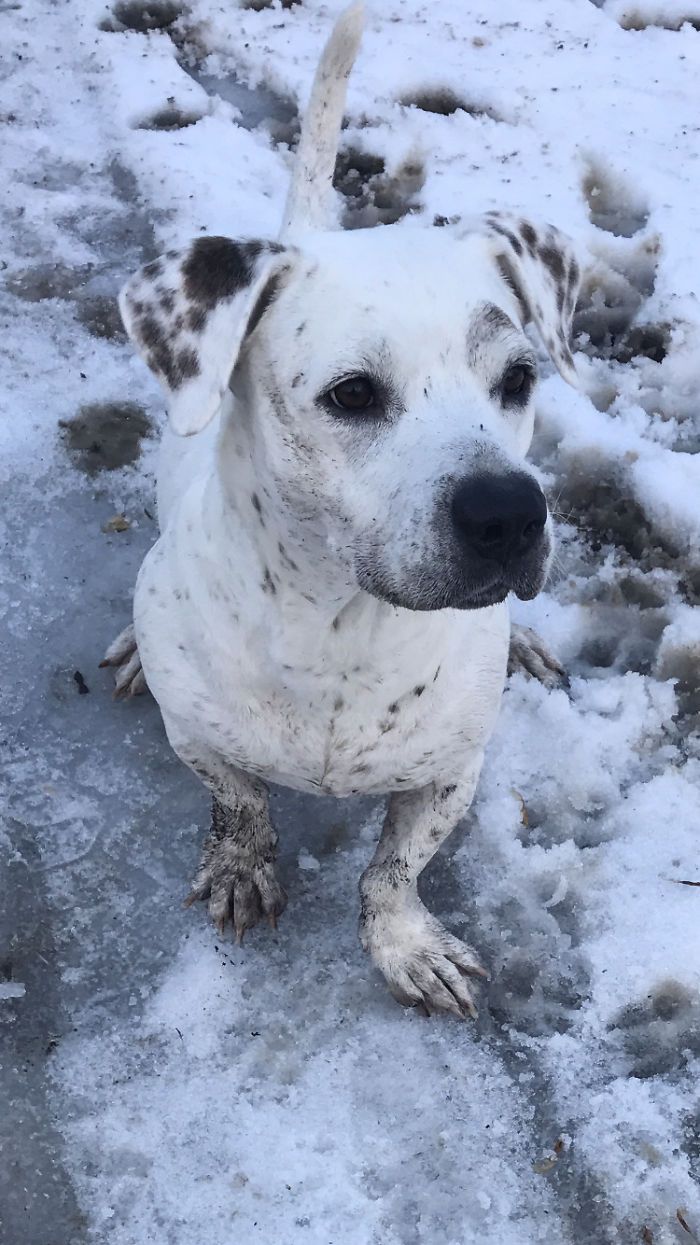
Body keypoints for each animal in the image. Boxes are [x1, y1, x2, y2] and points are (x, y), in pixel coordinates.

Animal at [102, 2, 577, 1020]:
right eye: (353, 394)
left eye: (518, 378)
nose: (510, 514)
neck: (341, 632)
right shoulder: (199, 734)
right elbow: (239, 802)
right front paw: (242, 864)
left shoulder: (450, 772)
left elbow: (393, 868)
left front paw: (403, 942)